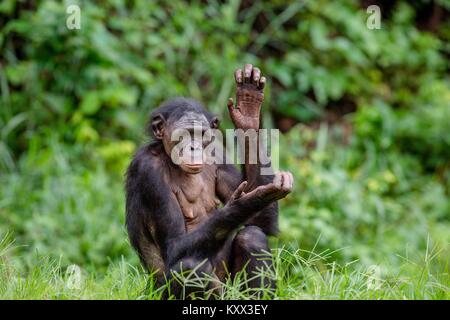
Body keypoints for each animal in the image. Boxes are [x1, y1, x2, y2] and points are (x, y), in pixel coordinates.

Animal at [125, 64, 296, 298]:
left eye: (200, 133)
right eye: (184, 134)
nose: (193, 147)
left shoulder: (217, 154)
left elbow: (261, 223)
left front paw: (249, 108)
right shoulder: (148, 170)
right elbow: (174, 245)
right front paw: (246, 201)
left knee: (252, 236)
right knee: (188, 268)